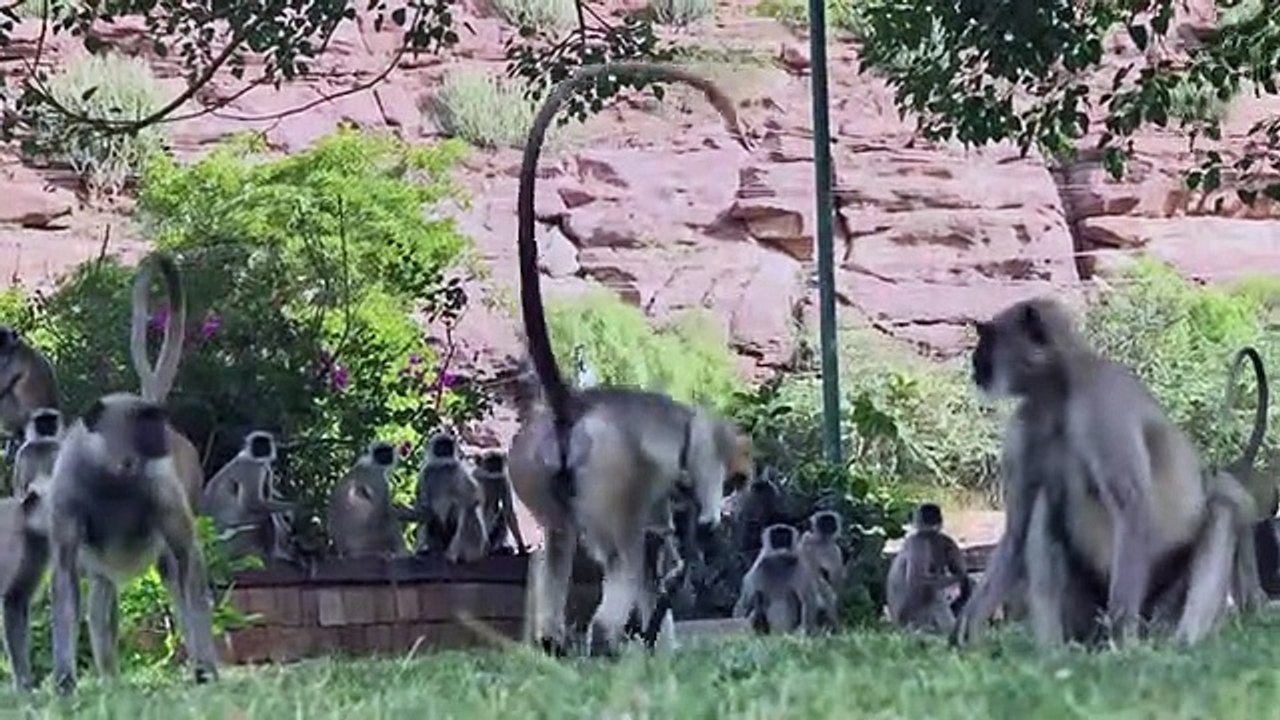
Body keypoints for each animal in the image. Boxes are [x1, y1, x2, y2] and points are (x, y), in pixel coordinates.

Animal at [47, 393, 220, 694]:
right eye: (141, 424)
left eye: (153, 420)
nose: (162, 436)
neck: (111, 476)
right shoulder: (67, 489)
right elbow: (65, 572)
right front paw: (65, 682)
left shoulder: (160, 482)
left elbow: (186, 554)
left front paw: (206, 670)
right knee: (102, 595)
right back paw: (110, 679)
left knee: (174, 576)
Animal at [199, 431, 296, 562]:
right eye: (257, 444)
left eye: (265, 444)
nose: (261, 449)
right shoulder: (253, 467)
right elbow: (252, 503)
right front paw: (303, 506)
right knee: (264, 515)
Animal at [509, 61, 755, 657]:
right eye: (739, 483)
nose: (738, 501)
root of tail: (571, 406)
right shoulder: (704, 443)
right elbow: (699, 457)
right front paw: (703, 529)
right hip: (612, 472)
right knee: (621, 557)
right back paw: (611, 639)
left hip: (528, 467)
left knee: (556, 545)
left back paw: (556, 640)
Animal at [886, 503, 968, 634]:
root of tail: (897, 624)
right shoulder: (919, 542)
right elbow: (917, 580)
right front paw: (961, 579)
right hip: (911, 617)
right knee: (932, 591)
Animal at [951, 297, 1256, 651]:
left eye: (988, 338)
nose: (975, 362)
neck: (1060, 392)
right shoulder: (1024, 424)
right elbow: (1017, 529)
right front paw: (967, 631)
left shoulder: (1101, 399)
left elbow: (1131, 505)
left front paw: (1122, 642)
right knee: (1045, 505)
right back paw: (1054, 649)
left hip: (1162, 603)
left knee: (1222, 505)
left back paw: (1180, 643)